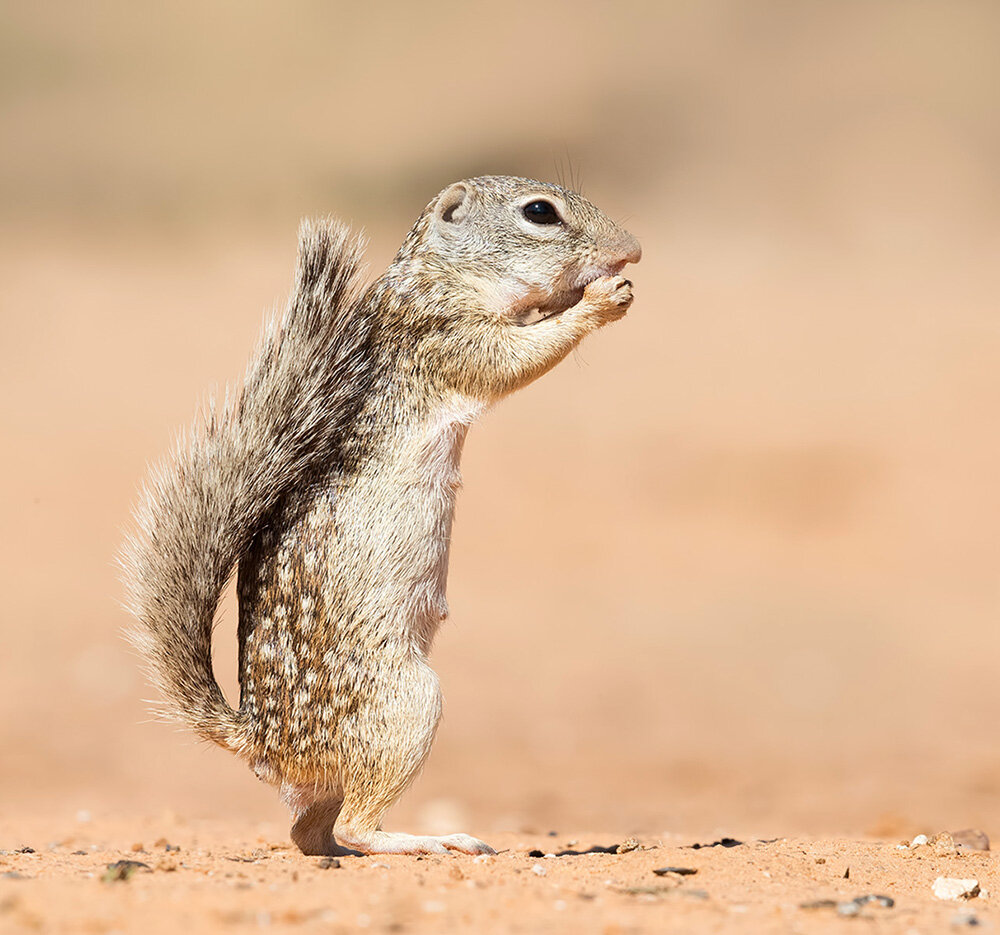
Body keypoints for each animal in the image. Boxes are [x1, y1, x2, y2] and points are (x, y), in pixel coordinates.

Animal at [121, 175, 641, 856]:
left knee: (309, 831)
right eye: (539, 213)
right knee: (355, 823)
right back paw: (434, 841)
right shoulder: (445, 333)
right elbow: (513, 357)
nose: (631, 250)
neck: (437, 272)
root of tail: (256, 740)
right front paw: (602, 300)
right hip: (409, 706)